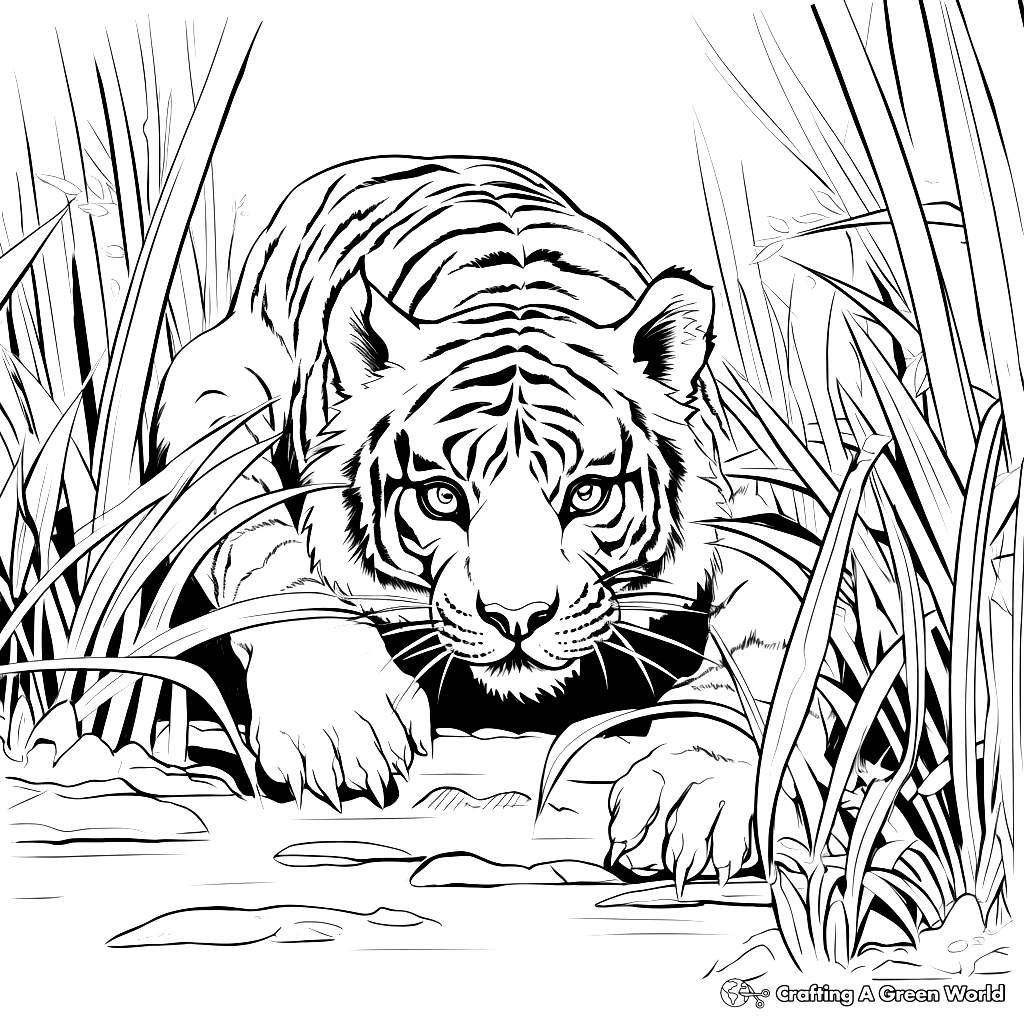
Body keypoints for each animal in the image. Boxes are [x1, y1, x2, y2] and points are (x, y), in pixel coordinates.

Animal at [153, 155, 797, 887]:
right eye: (442, 497)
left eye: (586, 495)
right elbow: (264, 553)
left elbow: (768, 654)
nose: (517, 620)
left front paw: (695, 796)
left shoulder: (756, 535)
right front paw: (341, 720)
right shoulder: (212, 394)